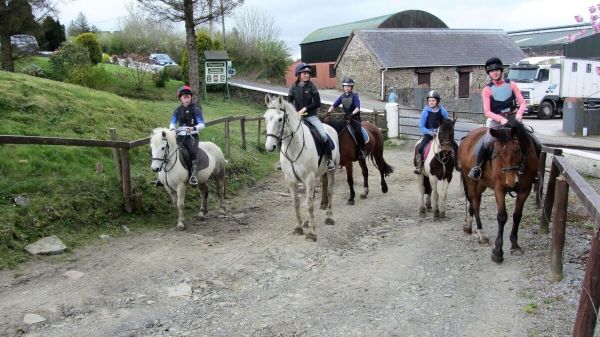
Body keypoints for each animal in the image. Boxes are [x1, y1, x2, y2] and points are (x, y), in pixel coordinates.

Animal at [264, 94, 340, 242]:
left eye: (280, 119)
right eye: (265, 117)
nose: (270, 147)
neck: (294, 147)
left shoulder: (309, 178)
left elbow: (309, 205)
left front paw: (311, 233)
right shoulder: (290, 180)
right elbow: (297, 202)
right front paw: (299, 228)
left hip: (332, 171)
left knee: (329, 191)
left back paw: (329, 217)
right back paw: (307, 222)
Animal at [460, 123, 540, 262]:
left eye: (517, 149)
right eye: (496, 152)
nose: (511, 181)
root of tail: (467, 137)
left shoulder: (525, 190)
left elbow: (517, 216)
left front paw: (515, 245)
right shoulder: (499, 188)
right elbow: (502, 217)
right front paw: (497, 252)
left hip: (482, 183)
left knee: (476, 201)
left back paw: (469, 226)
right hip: (470, 180)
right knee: (475, 202)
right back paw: (481, 234)